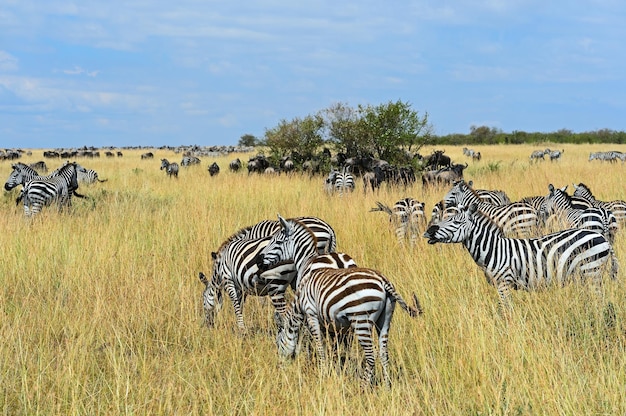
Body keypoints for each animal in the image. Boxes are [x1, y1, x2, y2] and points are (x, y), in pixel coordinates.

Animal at [256, 216, 422, 388]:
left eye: (277, 242)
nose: (258, 261)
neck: (306, 260)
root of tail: (383, 281)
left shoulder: (311, 313)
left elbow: (318, 344)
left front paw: (322, 372)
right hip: (385, 319)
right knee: (383, 354)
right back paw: (387, 386)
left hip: (361, 320)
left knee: (371, 357)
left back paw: (363, 388)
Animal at [422, 203, 616, 310]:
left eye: (455, 222)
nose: (428, 231)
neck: (493, 249)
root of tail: (602, 238)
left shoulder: (504, 283)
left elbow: (505, 310)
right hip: (586, 276)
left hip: (591, 271)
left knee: (599, 301)